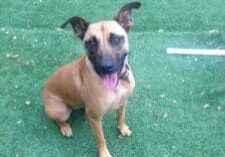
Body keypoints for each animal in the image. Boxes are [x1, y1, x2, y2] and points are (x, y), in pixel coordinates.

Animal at [42, 1, 141, 156]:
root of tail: (43, 92)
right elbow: (100, 138)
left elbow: (121, 117)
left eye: (116, 39)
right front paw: (104, 153)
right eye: (91, 42)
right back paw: (65, 128)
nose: (106, 67)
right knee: (58, 120)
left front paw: (122, 128)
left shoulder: (123, 102)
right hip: (61, 111)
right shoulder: (94, 118)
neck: (117, 85)